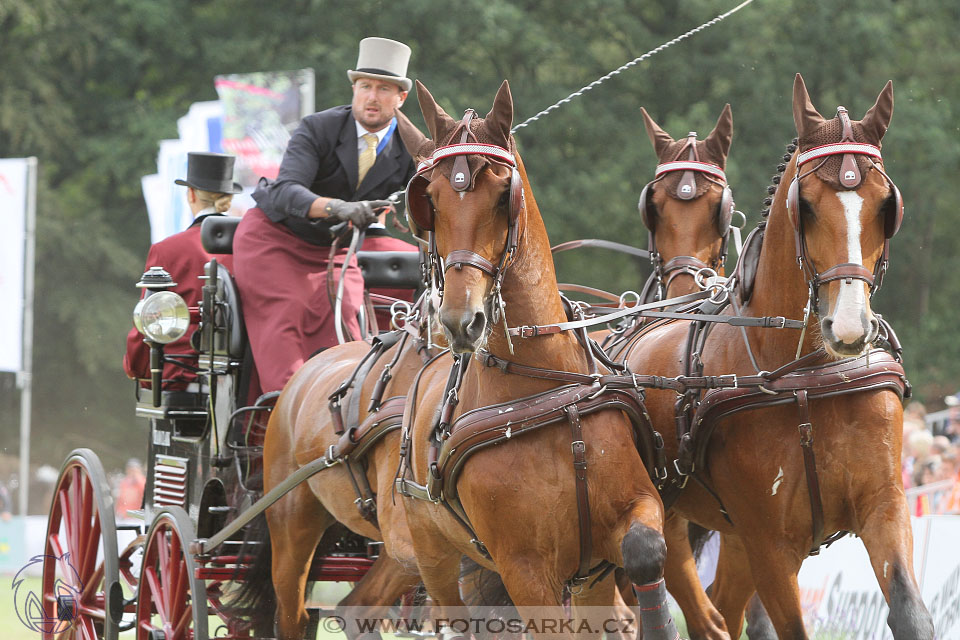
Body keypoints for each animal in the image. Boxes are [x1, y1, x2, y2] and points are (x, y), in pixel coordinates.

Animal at [394, 80, 680, 640]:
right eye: (430, 199)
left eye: (503, 193)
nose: (460, 320)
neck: (540, 387)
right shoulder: (524, 568)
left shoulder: (629, 519)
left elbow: (644, 552)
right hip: (433, 551)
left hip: (589, 578)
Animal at [620, 75, 932, 640]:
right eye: (804, 204)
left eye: (885, 205)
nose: (848, 327)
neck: (807, 375)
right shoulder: (770, 542)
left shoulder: (885, 506)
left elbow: (910, 611)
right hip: (668, 522)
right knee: (701, 612)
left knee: (722, 608)